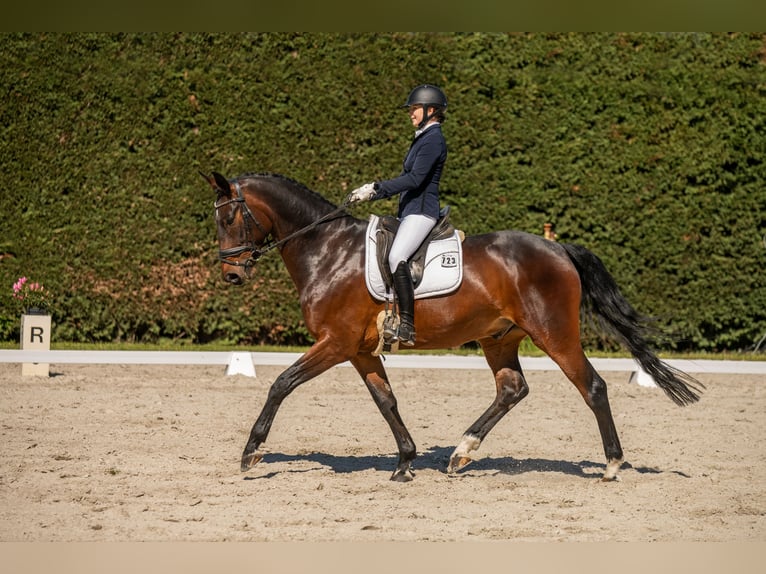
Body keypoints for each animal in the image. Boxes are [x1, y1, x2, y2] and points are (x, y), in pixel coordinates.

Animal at [202, 170, 703, 482]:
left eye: (228, 216)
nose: (232, 275)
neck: (327, 250)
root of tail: (559, 249)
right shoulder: (360, 350)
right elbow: (386, 400)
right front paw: (405, 461)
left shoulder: (335, 342)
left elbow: (281, 383)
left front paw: (251, 452)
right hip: (497, 338)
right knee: (512, 389)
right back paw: (462, 453)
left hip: (554, 333)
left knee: (592, 386)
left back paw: (612, 465)